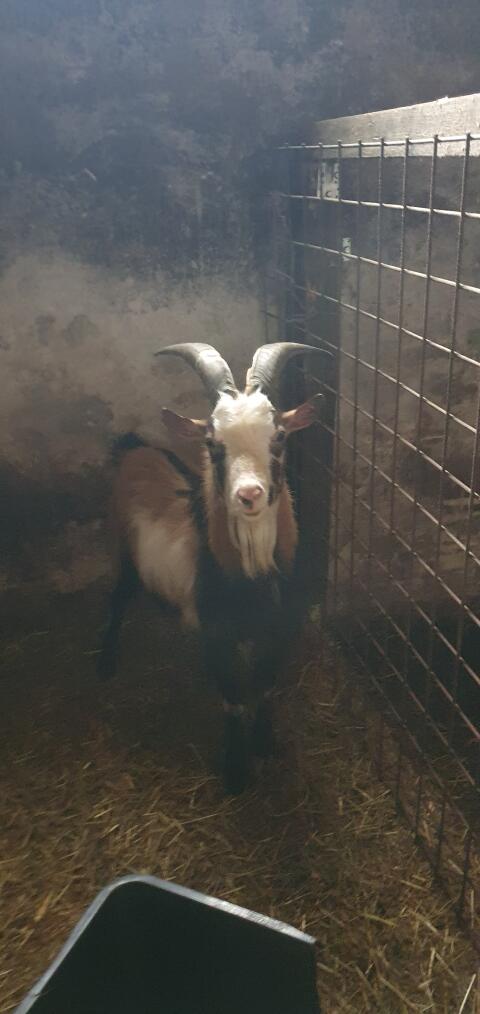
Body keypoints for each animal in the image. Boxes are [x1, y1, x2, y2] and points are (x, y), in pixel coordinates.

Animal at [98, 341, 328, 793]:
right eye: (212, 442)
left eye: (279, 436)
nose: (249, 494)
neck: (253, 578)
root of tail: (136, 449)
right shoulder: (216, 635)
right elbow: (234, 699)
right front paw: (236, 771)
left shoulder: (280, 629)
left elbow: (265, 687)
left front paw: (265, 745)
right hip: (124, 551)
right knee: (117, 598)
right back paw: (107, 663)